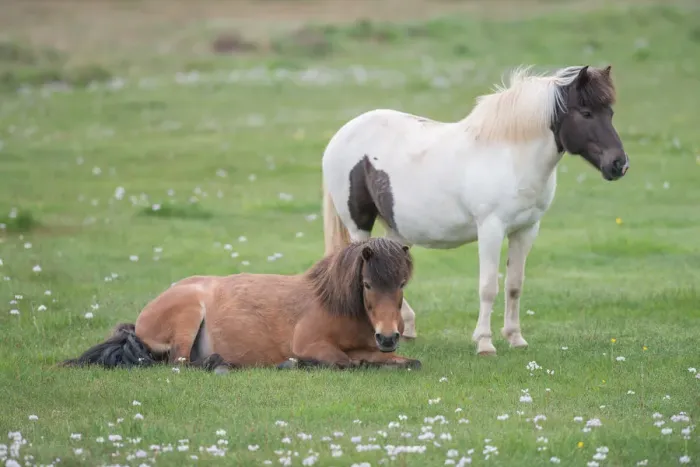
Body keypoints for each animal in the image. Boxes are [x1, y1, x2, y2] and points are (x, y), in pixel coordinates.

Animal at [60, 238, 421, 372]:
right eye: (367, 284)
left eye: (402, 284)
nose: (388, 336)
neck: (334, 304)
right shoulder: (310, 344)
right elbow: (344, 362)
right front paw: (295, 363)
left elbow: (407, 361)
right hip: (189, 315)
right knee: (181, 362)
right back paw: (221, 363)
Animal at [320, 64, 629, 356]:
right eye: (586, 113)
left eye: (610, 112)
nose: (619, 164)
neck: (511, 156)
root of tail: (341, 135)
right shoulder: (491, 228)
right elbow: (488, 286)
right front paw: (484, 343)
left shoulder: (526, 229)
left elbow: (514, 285)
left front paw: (515, 338)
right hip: (358, 225)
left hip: (395, 228)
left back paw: (406, 327)